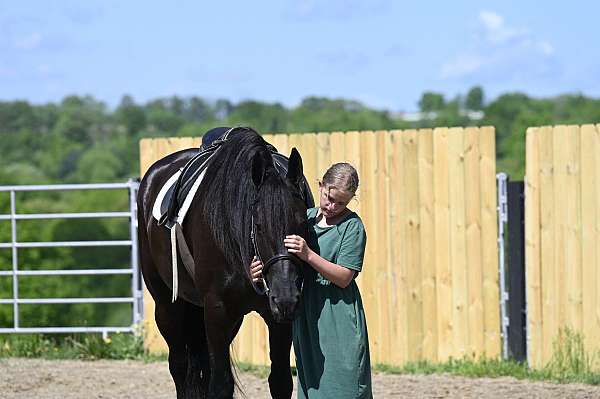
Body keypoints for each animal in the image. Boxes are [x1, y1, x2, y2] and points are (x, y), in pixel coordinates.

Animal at [138, 129, 310, 399]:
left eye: (303, 222)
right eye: (259, 225)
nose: (285, 297)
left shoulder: (276, 319)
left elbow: (280, 381)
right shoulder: (217, 309)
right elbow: (220, 385)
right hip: (167, 305)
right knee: (179, 365)